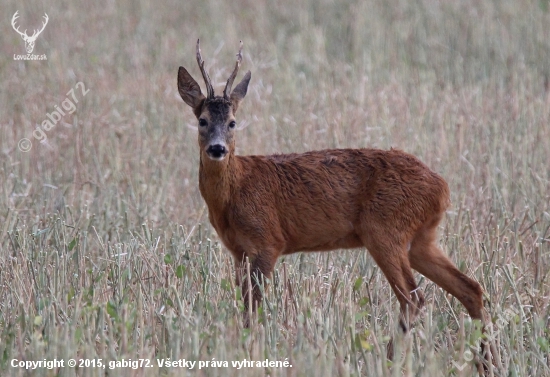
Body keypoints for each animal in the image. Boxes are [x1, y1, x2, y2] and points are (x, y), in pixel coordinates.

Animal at [179, 39, 490, 368]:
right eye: (202, 121)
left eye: (233, 122)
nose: (217, 149)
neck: (235, 191)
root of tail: (441, 187)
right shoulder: (238, 250)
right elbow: (244, 304)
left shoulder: (267, 241)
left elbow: (253, 307)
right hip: (420, 239)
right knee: (469, 287)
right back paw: (486, 362)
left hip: (384, 230)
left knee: (413, 296)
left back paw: (384, 360)